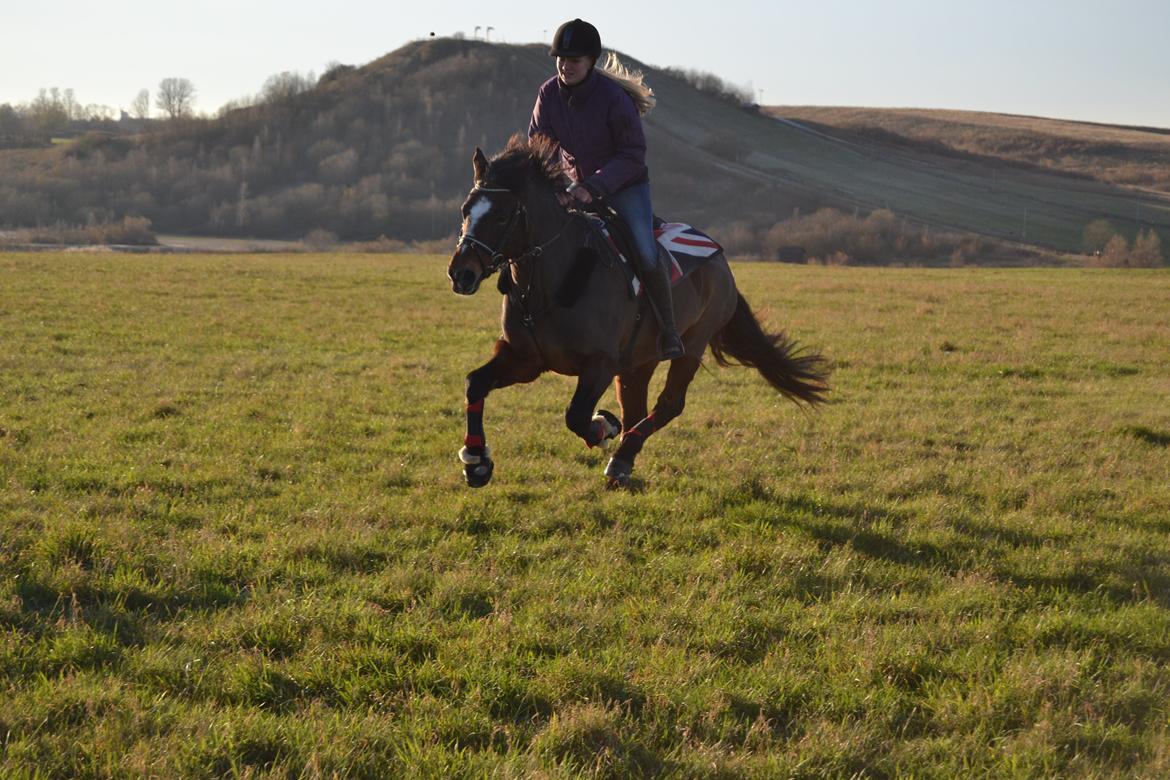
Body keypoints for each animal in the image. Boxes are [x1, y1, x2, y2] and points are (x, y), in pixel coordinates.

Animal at [442, 134, 828, 488]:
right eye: (465, 210)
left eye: (501, 214)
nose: (461, 273)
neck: (554, 281)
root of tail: (720, 260)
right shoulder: (525, 358)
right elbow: (475, 383)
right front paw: (476, 461)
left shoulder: (599, 363)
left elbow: (577, 415)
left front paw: (604, 426)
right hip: (638, 361)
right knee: (637, 407)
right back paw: (624, 459)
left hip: (692, 344)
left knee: (669, 403)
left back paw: (622, 453)